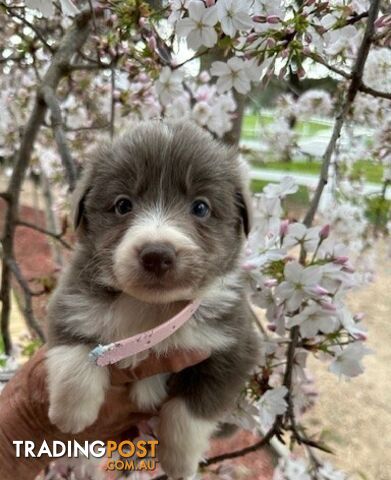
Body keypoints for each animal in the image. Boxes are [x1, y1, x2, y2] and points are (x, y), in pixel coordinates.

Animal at [46, 121, 258, 480]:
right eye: (123, 205)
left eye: (201, 207)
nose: (157, 254)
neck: (151, 308)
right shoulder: (70, 300)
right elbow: (77, 348)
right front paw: (71, 415)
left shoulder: (234, 344)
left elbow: (191, 408)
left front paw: (180, 460)